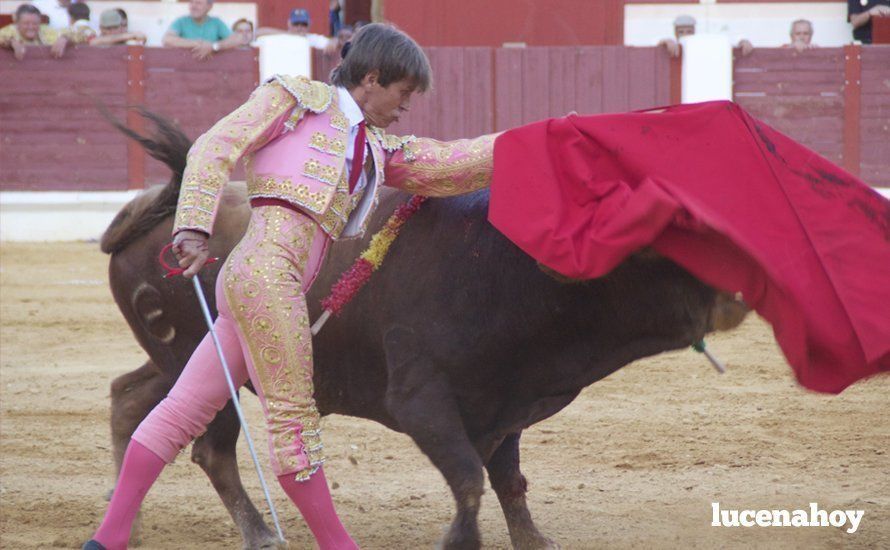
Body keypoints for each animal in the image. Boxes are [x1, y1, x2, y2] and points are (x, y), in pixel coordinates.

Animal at [100, 114, 744, 548]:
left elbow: (508, 480)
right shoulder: (421, 401)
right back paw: (256, 533)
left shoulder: (505, 404)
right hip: (211, 368)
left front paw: (534, 542)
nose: (739, 285)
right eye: (653, 244)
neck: (502, 269)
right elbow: (469, 480)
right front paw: (459, 542)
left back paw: (126, 519)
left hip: (175, 362)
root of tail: (157, 213)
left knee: (129, 398)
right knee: (209, 448)